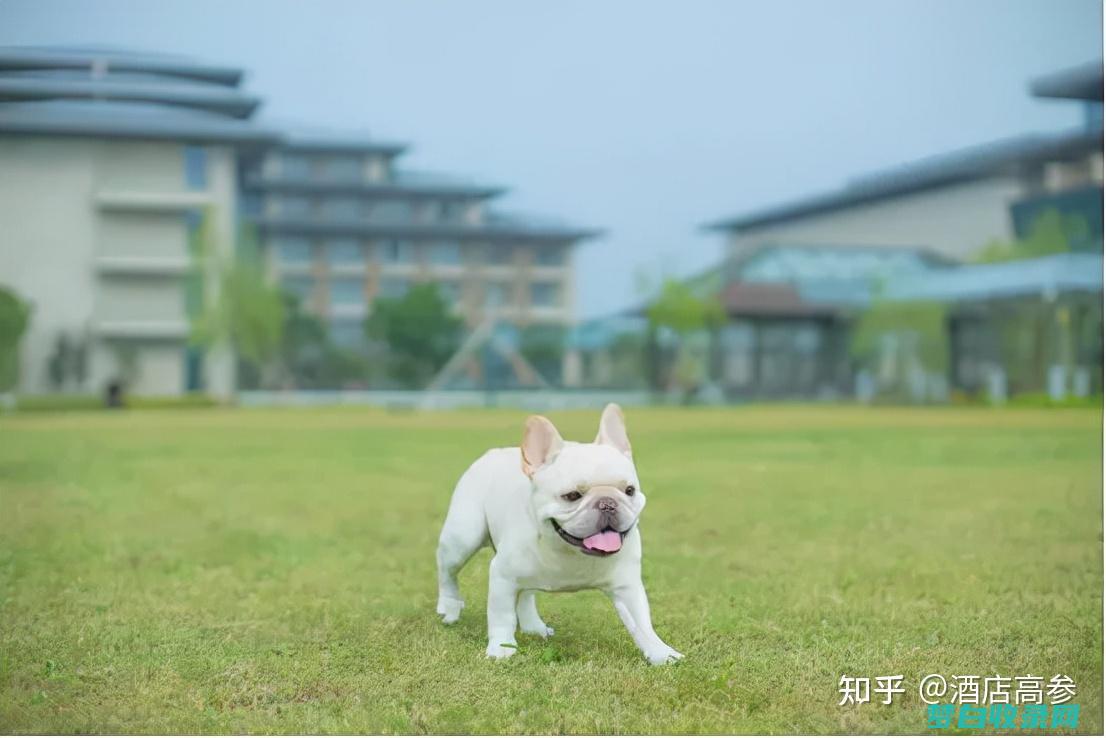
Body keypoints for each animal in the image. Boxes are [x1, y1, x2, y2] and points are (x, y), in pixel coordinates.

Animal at [433, 400, 681, 668]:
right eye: (572, 495)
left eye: (629, 490)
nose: (607, 503)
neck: (569, 551)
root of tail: (494, 453)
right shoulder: (502, 576)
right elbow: (501, 616)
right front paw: (501, 648)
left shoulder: (627, 587)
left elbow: (642, 624)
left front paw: (661, 652)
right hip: (462, 538)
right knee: (447, 571)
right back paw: (448, 608)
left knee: (526, 594)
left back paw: (533, 626)